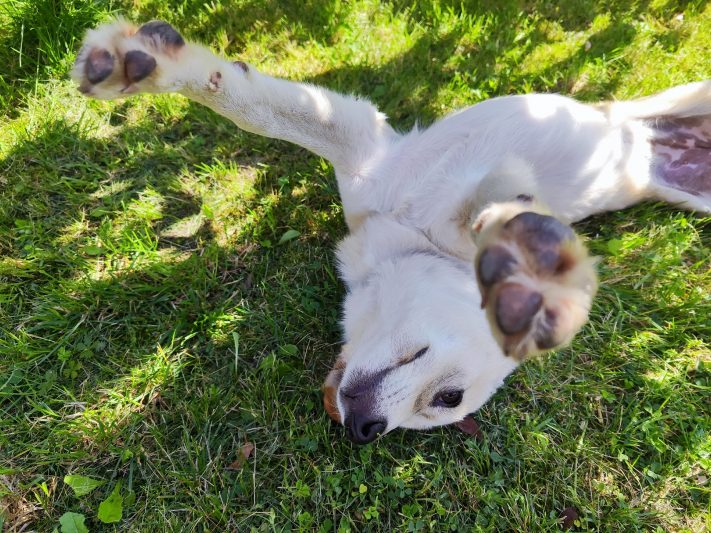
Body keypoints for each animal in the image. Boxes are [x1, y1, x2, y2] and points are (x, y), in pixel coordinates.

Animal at [72, 19, 710, 444]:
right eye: (450, 396)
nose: (365, 430)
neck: (403, 243)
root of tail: (649, 148)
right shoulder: (365, 148)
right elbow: (247, 104)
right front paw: (143, 64)